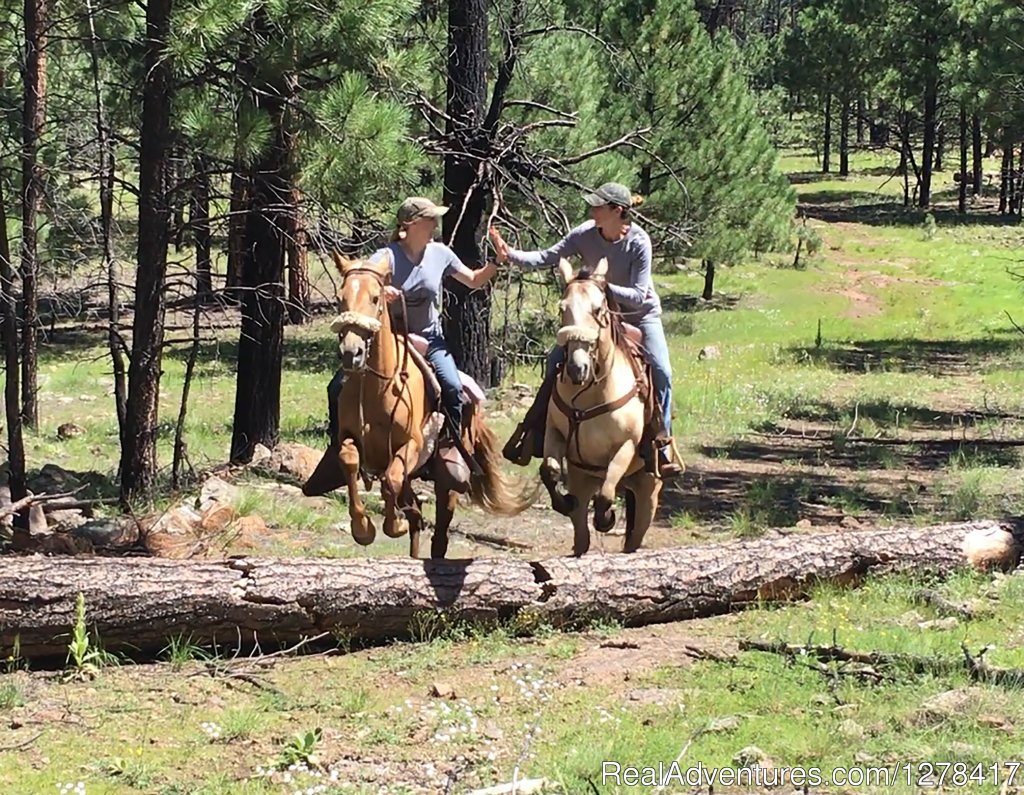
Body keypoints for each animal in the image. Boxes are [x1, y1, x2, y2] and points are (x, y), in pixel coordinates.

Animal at [299, 255, 536, 557]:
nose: (352, 353)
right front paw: (363, 529)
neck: (378, 387)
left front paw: (393, 525)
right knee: (416, 512)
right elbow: (351, 462)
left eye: (375, 297)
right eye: (341, 298)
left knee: (439, 530)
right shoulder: (349, 438)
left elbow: (390, 480)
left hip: (448, 480)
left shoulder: (411, 444)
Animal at [544, 258, 663, 557]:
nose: (577, 368)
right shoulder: (554, 433)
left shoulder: (626, 446)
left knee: (633, 539)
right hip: (583, 482)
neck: (590, 395)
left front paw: (606, 518)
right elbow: (549, 472)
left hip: (648, 494)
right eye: (562, 309)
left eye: (597, 309)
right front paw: (564, 502)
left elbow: (606, 493)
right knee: (581, 539)